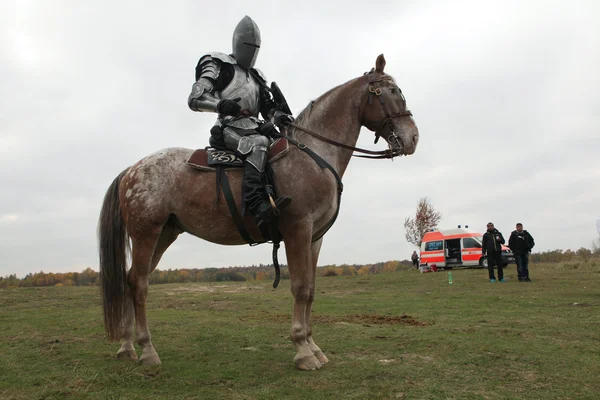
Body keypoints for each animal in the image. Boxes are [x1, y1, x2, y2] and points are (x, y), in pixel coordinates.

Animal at [97, 54, 418, 370]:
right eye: (390, 92)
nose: (413, 138)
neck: (313, 154)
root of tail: (132, 169)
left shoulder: (315, 238)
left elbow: (311, 290)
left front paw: (313, 346)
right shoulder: (297, 231)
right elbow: (300, 288)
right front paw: (302, 349)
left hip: (164, 234)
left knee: (131, 280)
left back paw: (127, 347)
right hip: (146, 233)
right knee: (139, 284)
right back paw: (148, 351)